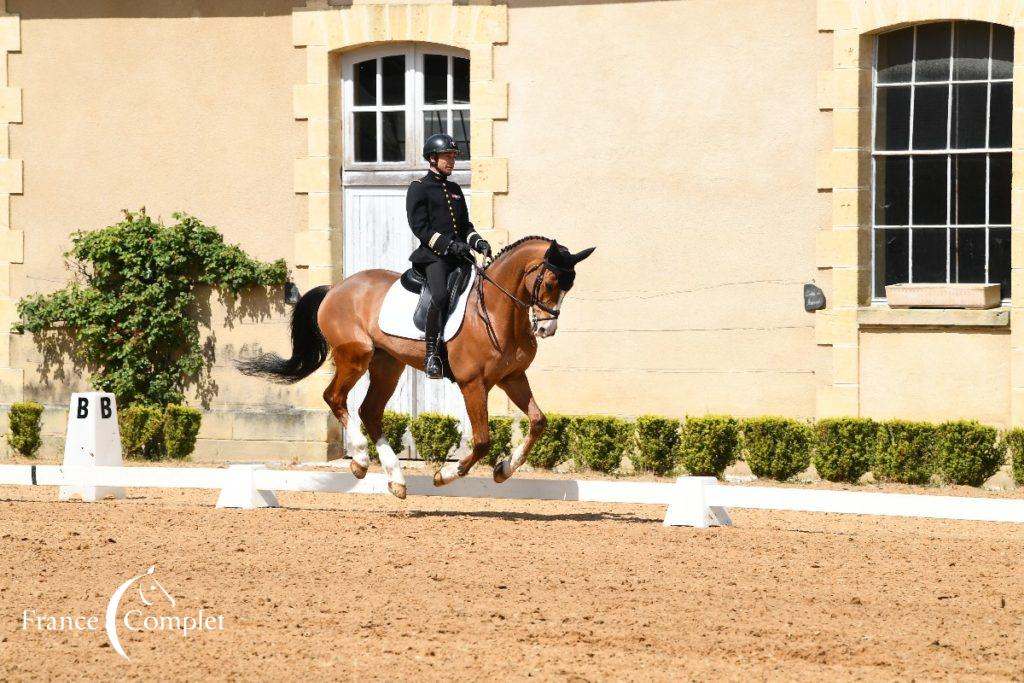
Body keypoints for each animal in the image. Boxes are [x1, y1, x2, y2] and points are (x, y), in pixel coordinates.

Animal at [235, 237, 598, 499]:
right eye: (549, 283)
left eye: (568, 287)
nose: (546, 328)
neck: (497, 311)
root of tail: (335, 288)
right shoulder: (473, 383)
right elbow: (482, 440)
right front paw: (445, 475)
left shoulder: (511, 377)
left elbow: (538, 421)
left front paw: (503, 470)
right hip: (356, 356)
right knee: (335, 398)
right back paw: (361, 460)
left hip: (387, 364)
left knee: (370, 411)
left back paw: (396, 479)